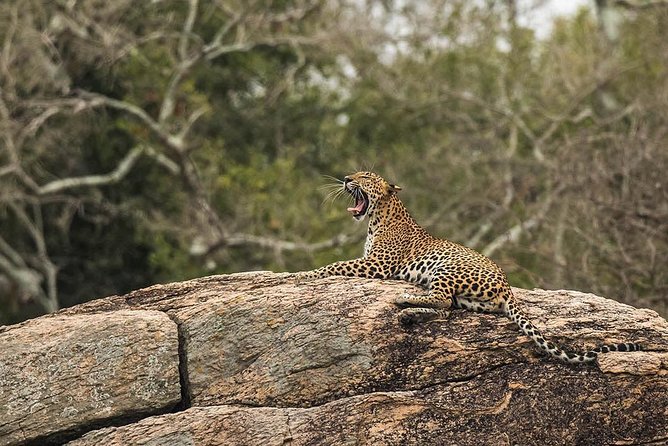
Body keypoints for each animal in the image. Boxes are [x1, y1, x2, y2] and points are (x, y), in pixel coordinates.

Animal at [295, 171, 641, 364]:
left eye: (365, 176)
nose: (346, 179)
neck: (378, 217)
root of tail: (507, 287)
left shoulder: (377, 265)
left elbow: (334, 265)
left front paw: (300, 275)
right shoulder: (371, 262)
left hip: (446, 269)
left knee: (442, 300)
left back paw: (403, 301)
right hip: (468, 298)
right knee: (446, 307)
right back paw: (408, 313)